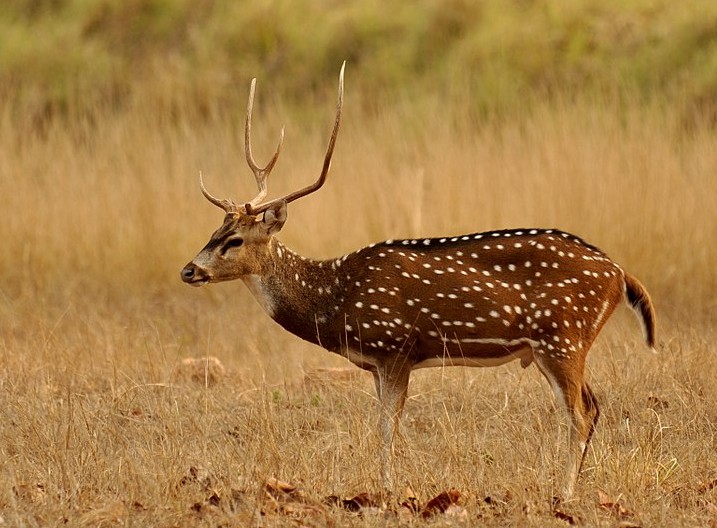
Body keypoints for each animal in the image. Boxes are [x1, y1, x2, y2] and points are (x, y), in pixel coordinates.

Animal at [180, 64, 656, 502]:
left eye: (235, 240)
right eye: (215, 230)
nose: (189, 270)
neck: (337, 298)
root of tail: (620, 274)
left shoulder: (394, 347)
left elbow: (386, 427)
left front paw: (388, 491)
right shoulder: (377, 363)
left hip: (562, 337)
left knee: (580, 413)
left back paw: (565, 494)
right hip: (562, 345)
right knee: (594, 406)